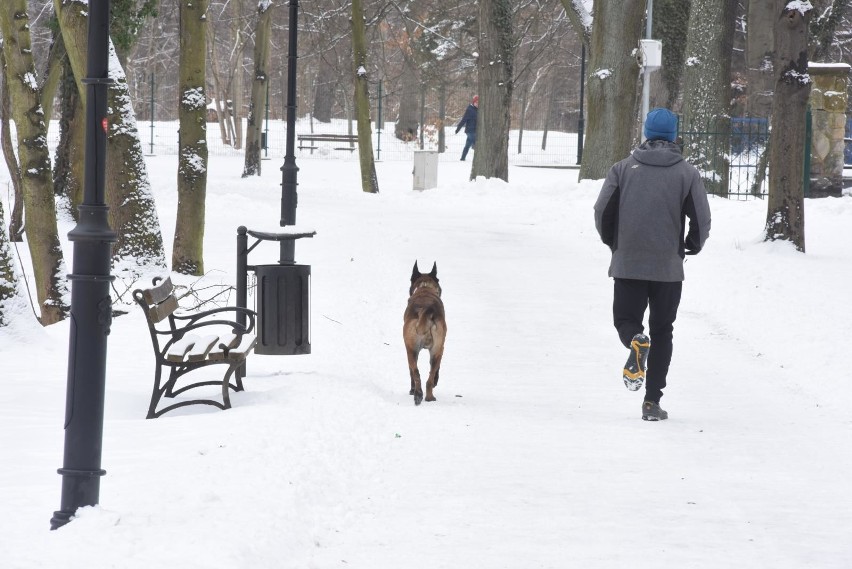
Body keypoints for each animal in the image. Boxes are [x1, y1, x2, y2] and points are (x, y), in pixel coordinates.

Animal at [404, 262, 446, 404]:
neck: (425, 288)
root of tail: (426, 311)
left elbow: (411, 371)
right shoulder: (440, 349)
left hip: (412, 350)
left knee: (416, 373)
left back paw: (417, 393)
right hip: (435, 351)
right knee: (430, 376)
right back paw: (428, 397)